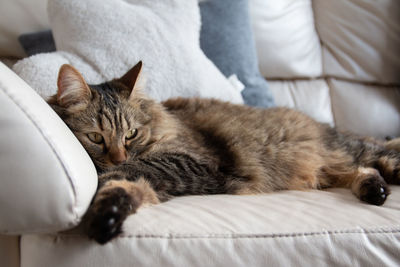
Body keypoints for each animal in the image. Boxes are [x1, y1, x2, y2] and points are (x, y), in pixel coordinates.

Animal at [47, 60, 400, 245]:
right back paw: (375, 190)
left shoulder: (195, 165)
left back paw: (382, 181)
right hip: (333, 168)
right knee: (363, 170)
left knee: (379, 156)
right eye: (96, 137)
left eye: (131, 134)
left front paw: (108, 182)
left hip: (351, 151)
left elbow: (131, 172)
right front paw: (106, 218)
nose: (119, 157)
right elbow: (123, 189)